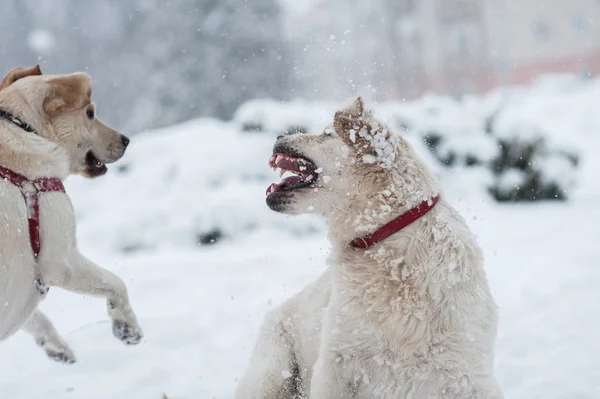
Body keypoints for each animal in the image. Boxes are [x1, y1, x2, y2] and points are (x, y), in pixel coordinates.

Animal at [0, 67, 142, 364]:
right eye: (89, 112)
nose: (126, 140)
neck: (25, 131)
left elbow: (35, 318)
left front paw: (55, 346)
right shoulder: (60, 260)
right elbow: (115, 282)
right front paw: (127, 327)